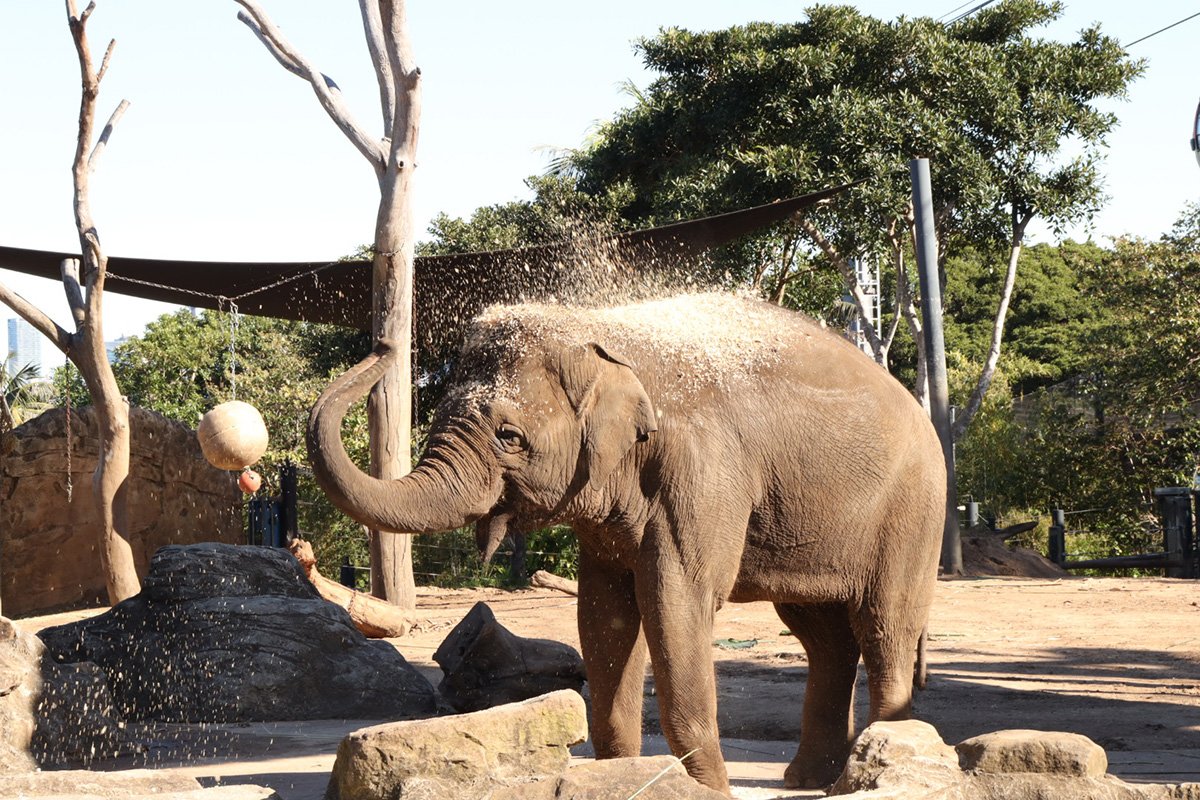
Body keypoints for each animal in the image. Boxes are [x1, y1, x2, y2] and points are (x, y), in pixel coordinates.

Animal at [309, 291, 945, 791]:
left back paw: (879, 765)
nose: (383, 345)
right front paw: (623, 777)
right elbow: (604, 612)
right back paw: (811, 779)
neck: (601, 333)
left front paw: (707, 791)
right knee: (823, 635)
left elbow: (675, 601)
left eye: (509, 435)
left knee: (885, 625)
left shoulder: (703, 471)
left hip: (913, 513)